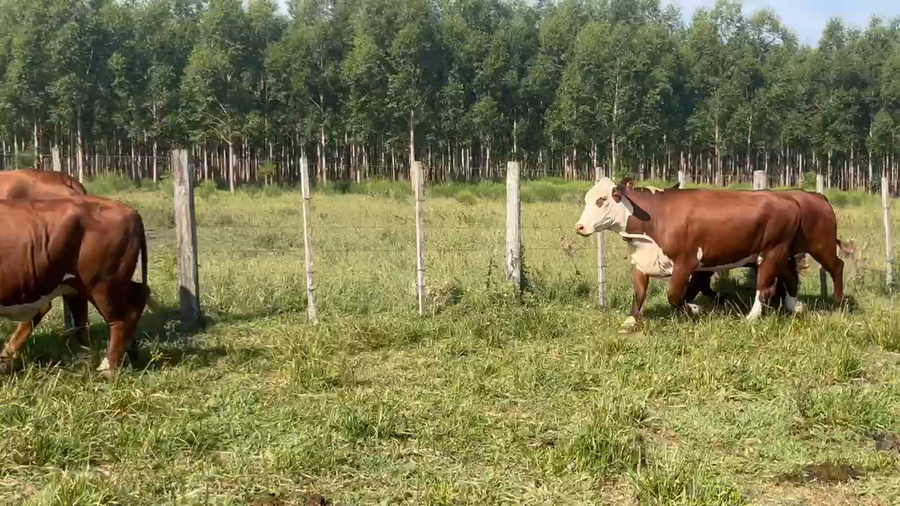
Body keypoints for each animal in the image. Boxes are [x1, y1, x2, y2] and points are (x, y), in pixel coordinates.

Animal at [575, 177, 805, 332]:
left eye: (602, 199)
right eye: (587, 199)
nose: (580, 227)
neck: (657, 217)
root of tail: (787, 199)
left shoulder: (685, 262)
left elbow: (675, 295)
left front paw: (694, 309)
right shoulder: (640, 262)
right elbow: (639, 293)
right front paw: (630, 320)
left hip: (771, 252)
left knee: (764, 287)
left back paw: (751, 317)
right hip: (782, 255)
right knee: (791, 278)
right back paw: (795, 307)